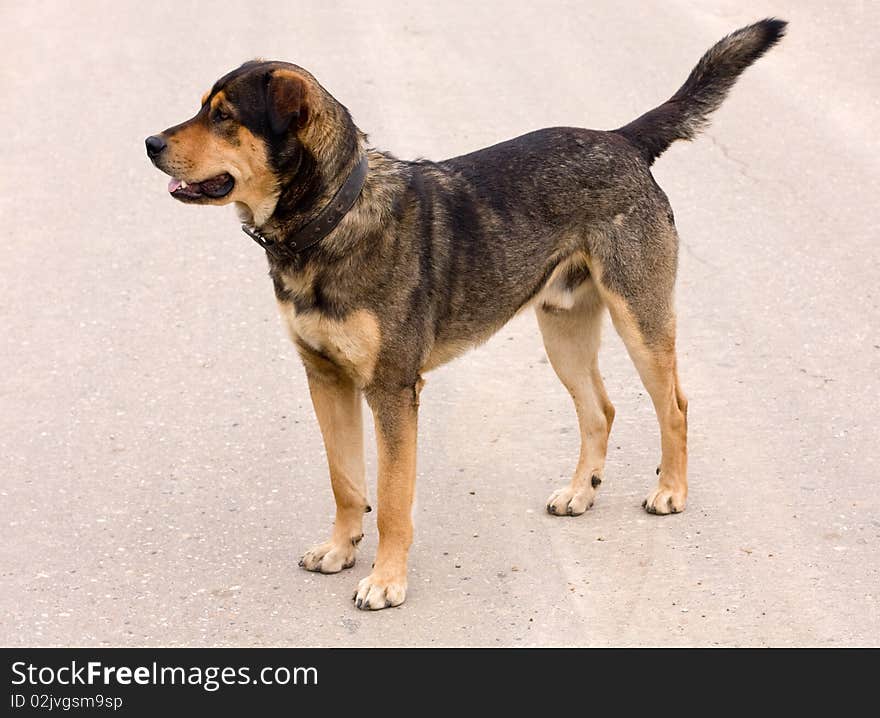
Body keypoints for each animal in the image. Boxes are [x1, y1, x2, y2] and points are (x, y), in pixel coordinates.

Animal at [146, 19, 792, 612]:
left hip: (641, 320)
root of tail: (622, 140)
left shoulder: (392, 391)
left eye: (224, 116)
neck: (332, 216)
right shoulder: (325, 379)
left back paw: (671, 491)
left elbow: (392, 498)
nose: (149, 143)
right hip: (562, 331)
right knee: (600, 410)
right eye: (203, 108)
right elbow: (345, 481)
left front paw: (386, 580)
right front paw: (339, 548)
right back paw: (580, 493)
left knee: (674, 406)